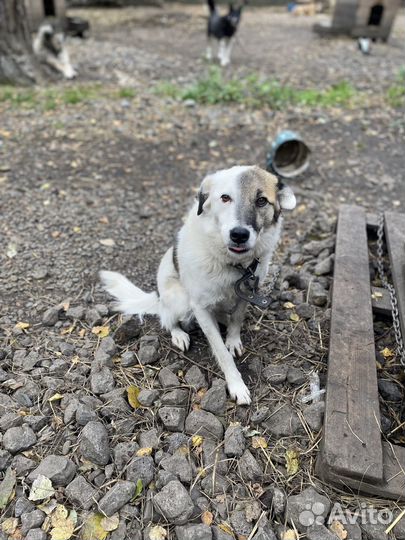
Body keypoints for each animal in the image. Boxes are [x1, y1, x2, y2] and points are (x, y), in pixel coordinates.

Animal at [101, 167, 296, 402]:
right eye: (225, 197)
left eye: (261, 201)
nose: (239, 235)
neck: (234, 265)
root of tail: (158, 297)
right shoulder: (200, 307)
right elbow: (221, 352)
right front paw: (236, 385)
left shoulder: (246, 293)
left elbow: (237, 319)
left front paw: (233, 339)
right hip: (179, 300)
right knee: (167, 319)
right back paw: (179, 334)